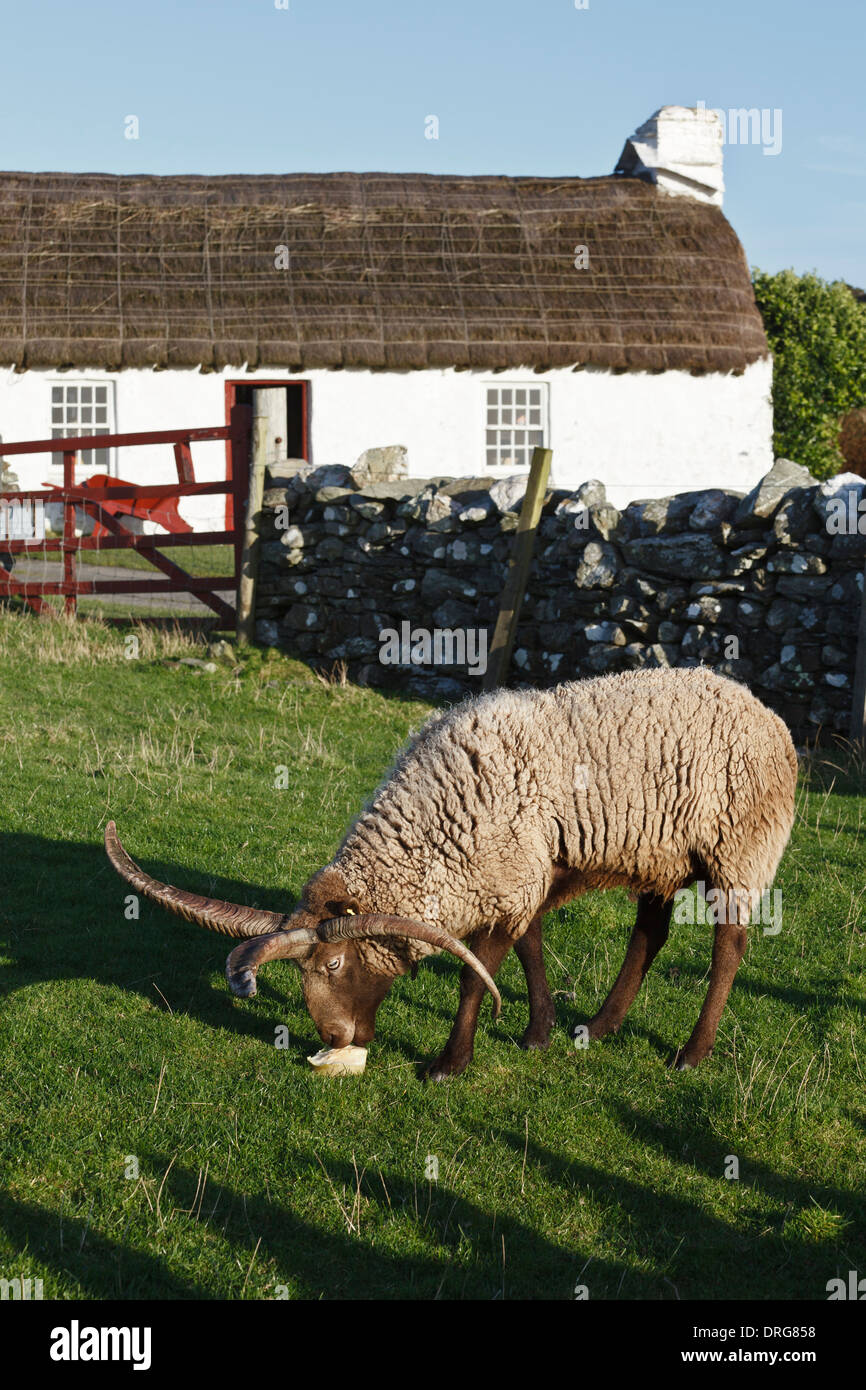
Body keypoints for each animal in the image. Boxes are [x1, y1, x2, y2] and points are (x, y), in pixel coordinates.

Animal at [107, 667, 800, 1078]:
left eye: (333, 965)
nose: (337, 1035)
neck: (433, 826)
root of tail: (763, 709)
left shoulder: (509, 875)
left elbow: (476, 977)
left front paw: (450, 1062)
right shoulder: (517, 873)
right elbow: (530, 948)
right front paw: (540, 1033)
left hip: (740, 847)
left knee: (730, 946)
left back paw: (693, 1052)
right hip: (658, 854)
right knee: (650, 935)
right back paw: (600, 1027)